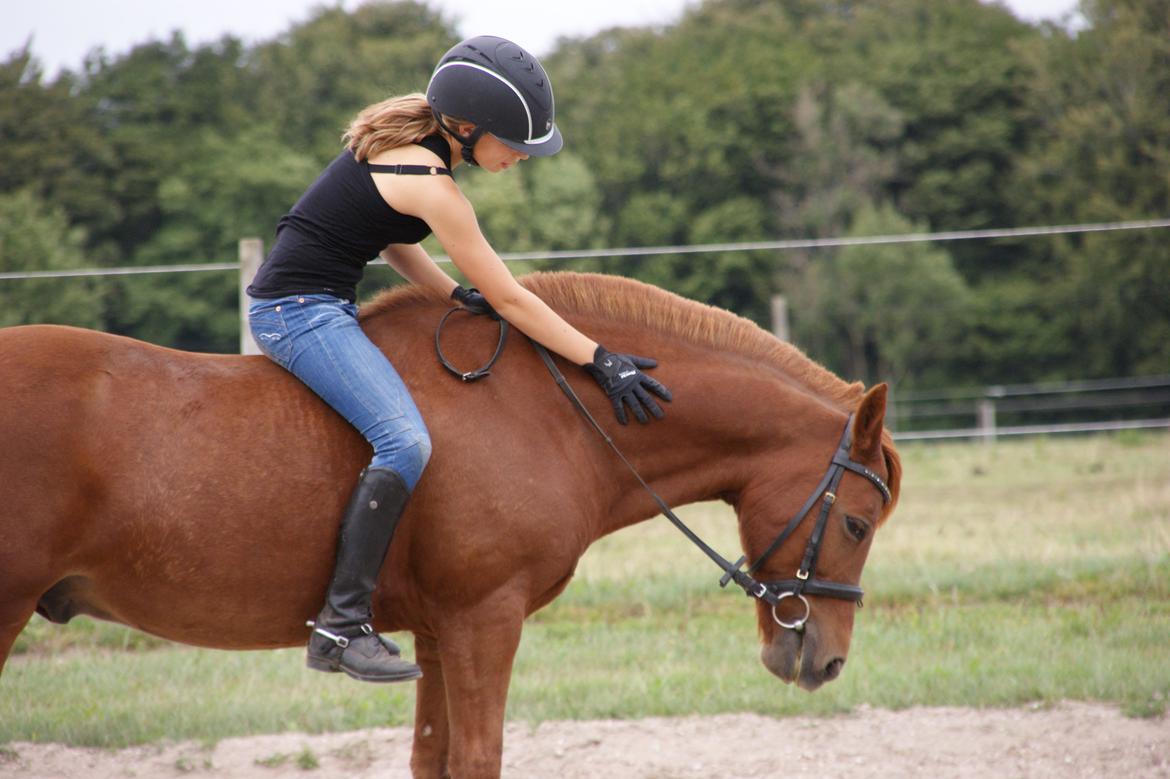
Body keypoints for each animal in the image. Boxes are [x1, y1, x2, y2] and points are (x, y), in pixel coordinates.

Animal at [0, 271, 903, 776]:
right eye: (858, 525)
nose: (825, 659)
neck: (550, 413)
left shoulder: (437, 630)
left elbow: (431, 756)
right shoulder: (483, 619)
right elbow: (477, 757)